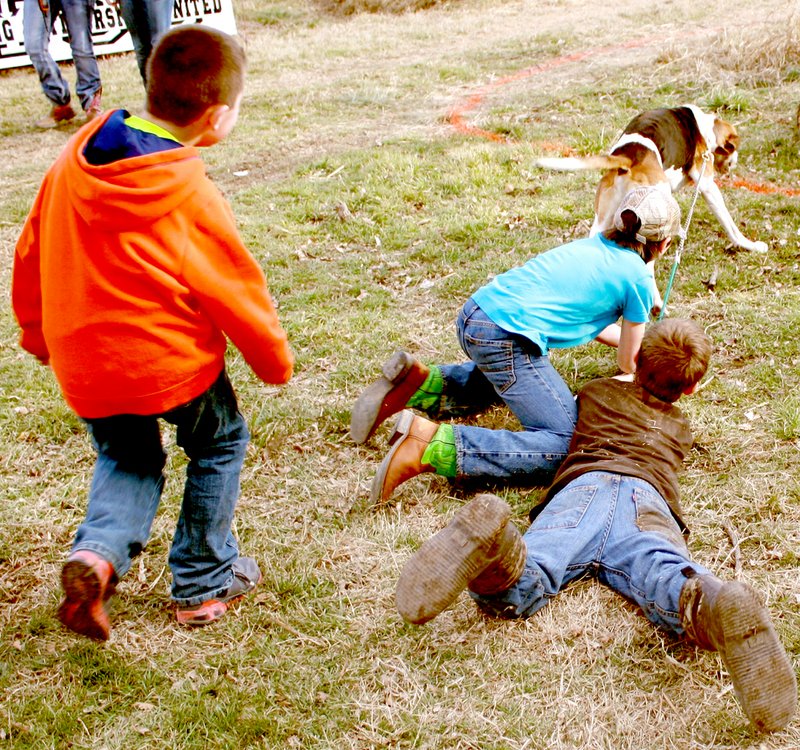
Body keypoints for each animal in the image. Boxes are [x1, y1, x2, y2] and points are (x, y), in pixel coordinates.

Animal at [540, 105, 764, 256]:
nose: (735, 162)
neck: (703, 128)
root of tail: (628, 158)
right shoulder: (708, 186)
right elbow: (730, 225)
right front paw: (749, 245)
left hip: (603, 220)